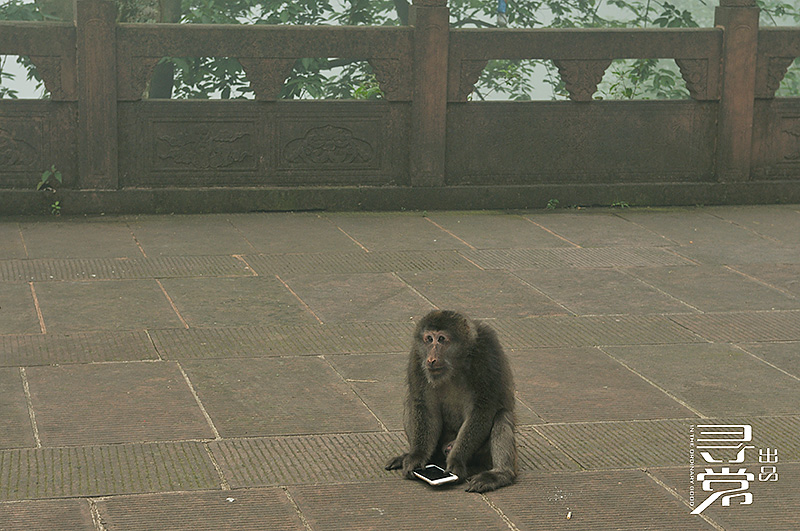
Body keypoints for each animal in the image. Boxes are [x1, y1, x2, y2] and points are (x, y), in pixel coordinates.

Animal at [386, 312, 520, 494]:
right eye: (429, 339)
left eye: (441, 339)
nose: (431, 358)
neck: (457, 363)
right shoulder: (417, 354)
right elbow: (423, 403)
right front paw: (417, 456)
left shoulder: (487, 352)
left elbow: (483, 408)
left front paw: (457, 461)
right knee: (410, 400)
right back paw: (414, 456)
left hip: (481, 455)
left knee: (502, 415)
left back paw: (500, 474)